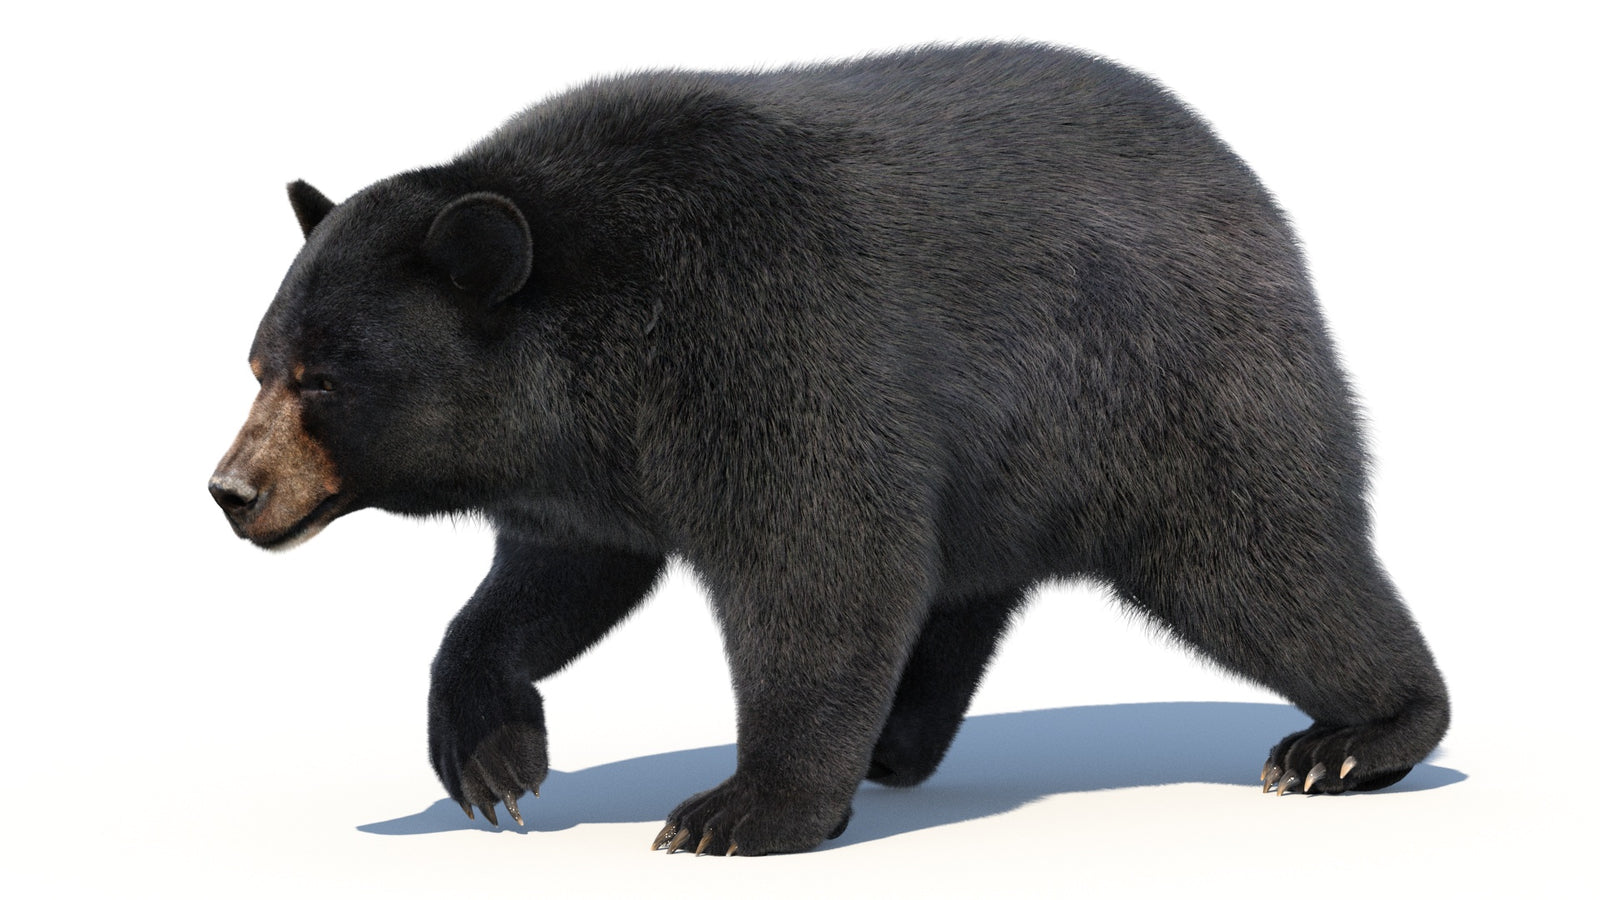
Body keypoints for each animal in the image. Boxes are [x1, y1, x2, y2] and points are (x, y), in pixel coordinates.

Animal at [209, 42, 1449, 856]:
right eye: (259, 361)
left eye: (324, 379)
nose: (232, 490)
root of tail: (1247, 190)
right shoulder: (588, 466)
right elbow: (553, 583)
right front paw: (491, 763)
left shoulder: (765, 341)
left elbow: (820, 564)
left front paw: (740, 810)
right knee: (966, 583)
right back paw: (900, 738)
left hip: (1167, 391)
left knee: (1264, 560)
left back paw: (1352, 737)